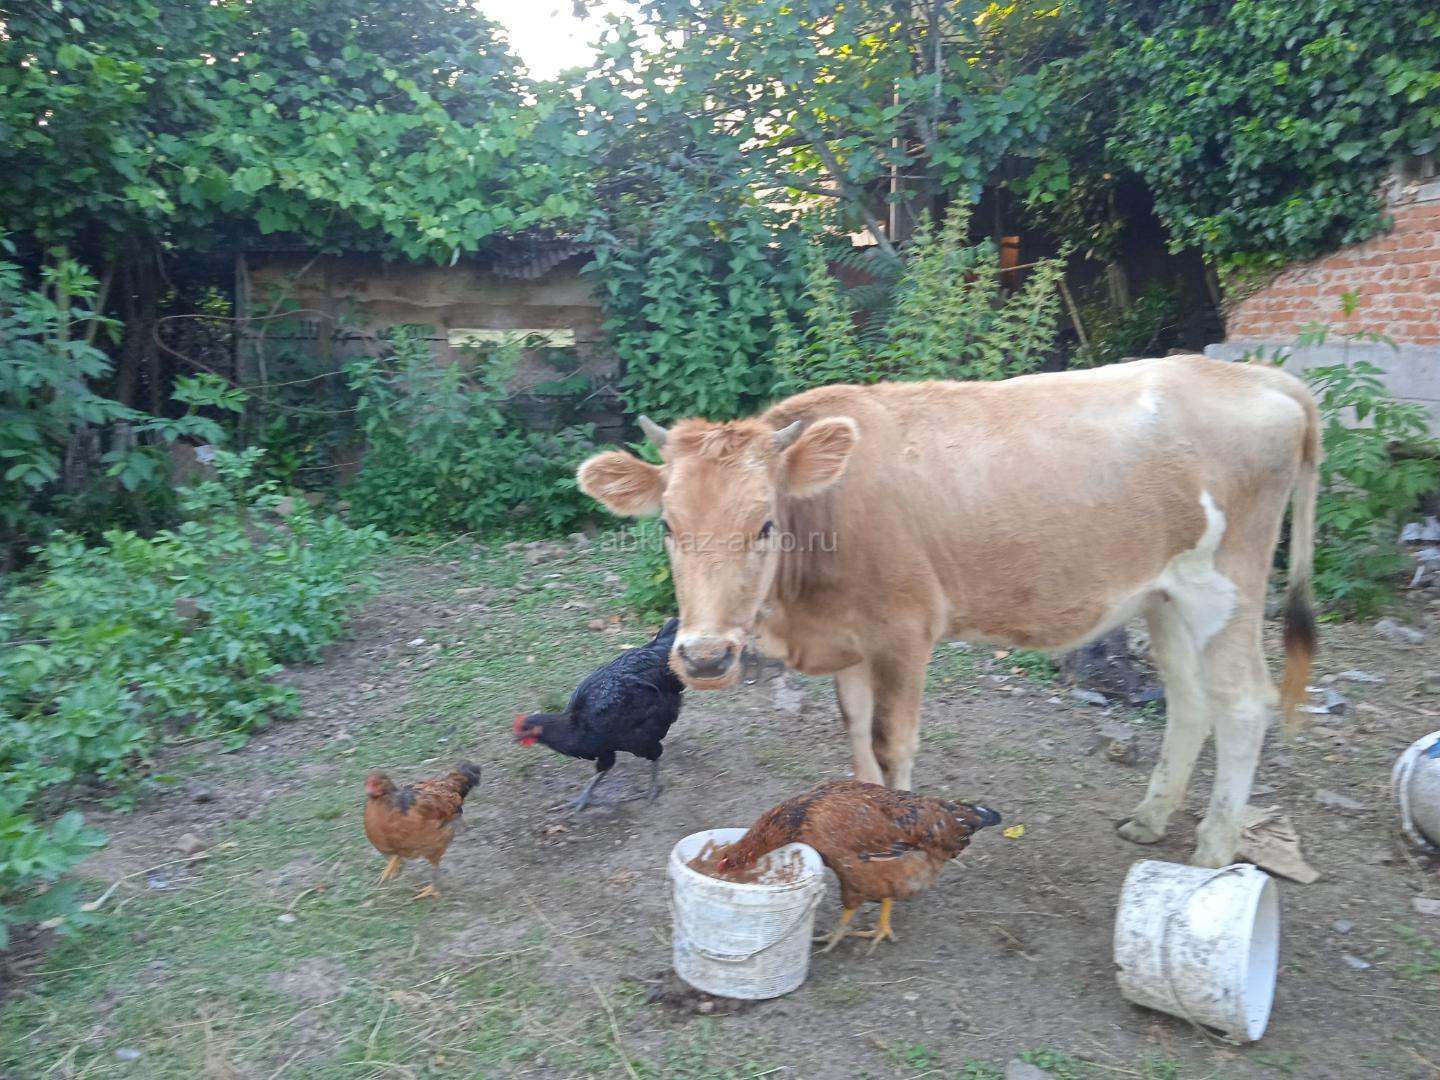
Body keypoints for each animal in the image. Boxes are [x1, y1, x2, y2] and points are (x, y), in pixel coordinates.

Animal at [576, 355, 1319, 867]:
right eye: (667, 525)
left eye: (765, 524)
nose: (704, 657)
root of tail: (1259, 377)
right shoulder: (850, 641)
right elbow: (856, 734)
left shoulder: (905, 631)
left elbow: (891, 743)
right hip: (1165, 597)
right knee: (1191, 702)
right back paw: (1151, 817)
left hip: (1227, 587)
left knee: (1243, 703)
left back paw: (1214, 850)